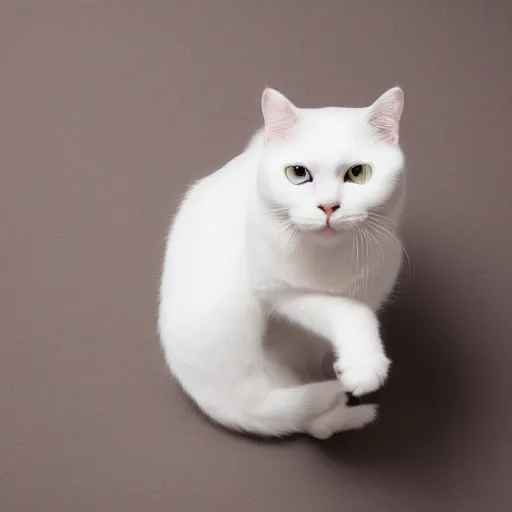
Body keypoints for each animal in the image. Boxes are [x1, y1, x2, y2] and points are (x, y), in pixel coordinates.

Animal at [158, 86, 406, 438]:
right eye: (298, 173)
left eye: (358, 173)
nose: (328, 206)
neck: (333, 261)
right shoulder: (277, 291)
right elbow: (349, 311)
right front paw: (364, 365)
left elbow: (356, 310)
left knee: (313, 424)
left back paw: (352, 413)